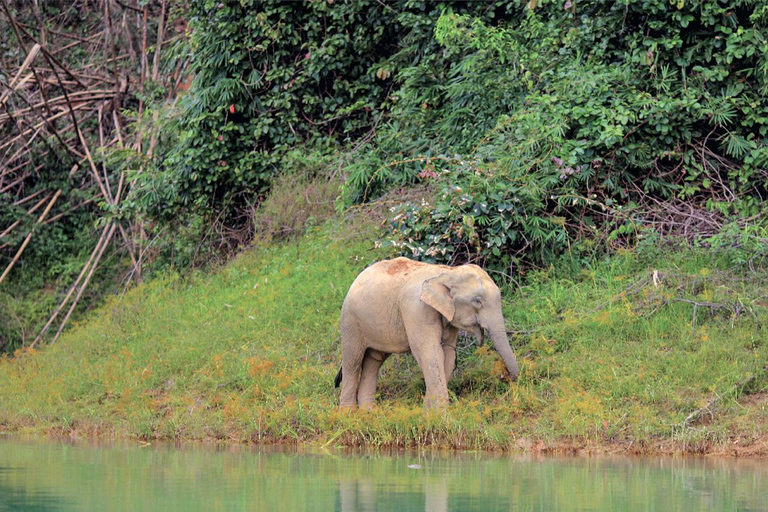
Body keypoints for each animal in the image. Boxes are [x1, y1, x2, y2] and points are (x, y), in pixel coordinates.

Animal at [334, 258, 520, 410]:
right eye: (477, 301)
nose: (503, 375)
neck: (446, 272)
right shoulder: (417, 310)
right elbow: (430, 353)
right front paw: (440, 417)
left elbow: (448, 354)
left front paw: (428, 412)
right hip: (350, 321)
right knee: (353, 361)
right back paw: (348, 414)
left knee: (373, 360)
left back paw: (368, 413)